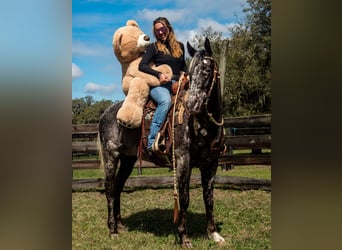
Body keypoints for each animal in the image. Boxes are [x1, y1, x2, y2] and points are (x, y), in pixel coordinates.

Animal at [98, 37, 227, 248]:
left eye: (207, 70)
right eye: (190, 74)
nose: (191, 104)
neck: (203, 124)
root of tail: (105, 114)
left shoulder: (211, 163)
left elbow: (209, 197)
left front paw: (214, 234)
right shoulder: (182, 160)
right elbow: (184, 198)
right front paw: (184, 237)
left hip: (128, 160)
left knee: (117, 187)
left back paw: (120, 225)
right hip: (111, 156)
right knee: (109, 188)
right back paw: (112, 230)